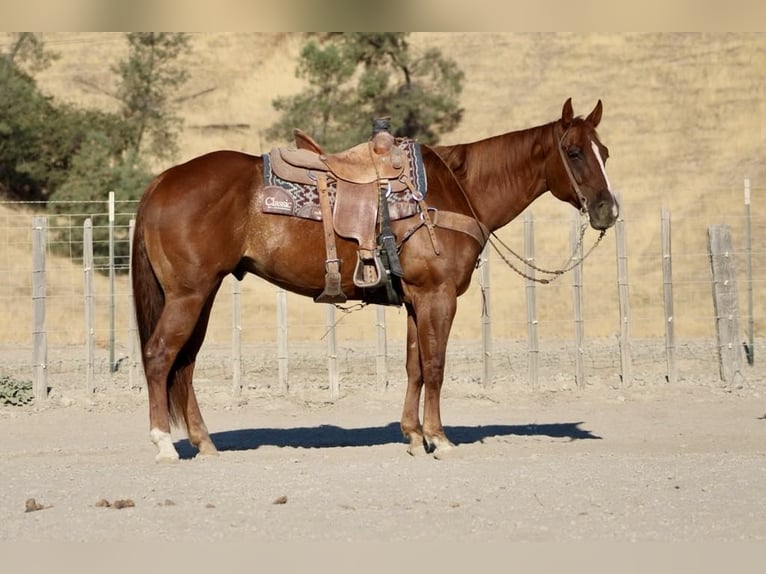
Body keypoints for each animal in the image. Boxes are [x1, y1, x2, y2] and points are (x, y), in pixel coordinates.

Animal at [131, 97, 618, 462]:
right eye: (574, 152)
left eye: (605, 153)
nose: (607, 210)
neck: (453, 190)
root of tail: (162, 180)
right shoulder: (438, 296)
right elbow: (436, 366)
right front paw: (439, 438)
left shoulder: (416, 300)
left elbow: (415, 367)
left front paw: (413, 435)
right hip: (188, 295)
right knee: (159, 356)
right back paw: (163, 442)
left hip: (202, 294)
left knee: (185, 363)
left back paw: (204, 442)